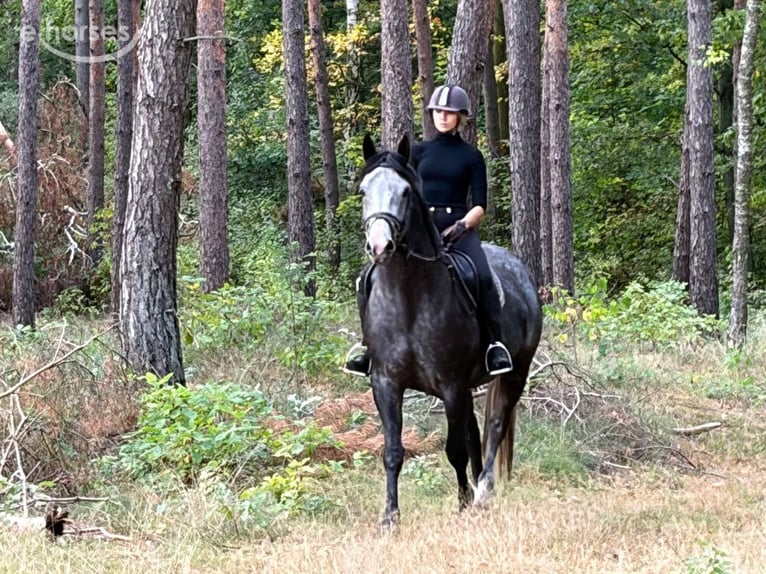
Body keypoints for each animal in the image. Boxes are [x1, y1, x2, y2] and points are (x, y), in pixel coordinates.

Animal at [357, 134, 543, 528]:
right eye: (364, 190)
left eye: (405, 192)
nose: (380, 246)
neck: (409, 297)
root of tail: (520, 269)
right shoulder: (385, 382)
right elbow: (393, 450)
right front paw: (390, 517)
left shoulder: (451, 385)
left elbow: (455, 448)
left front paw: (462, 502)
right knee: (475, 432)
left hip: (515, 372)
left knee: (494, 427)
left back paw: (483, 490)